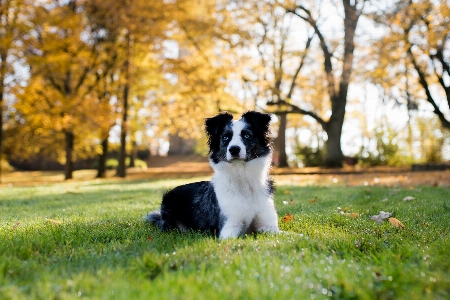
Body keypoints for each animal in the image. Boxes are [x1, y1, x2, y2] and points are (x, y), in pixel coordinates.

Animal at [146, 110, 280, 239]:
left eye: (247, 135)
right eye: (225, 137)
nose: (234, 149)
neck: (243, 178)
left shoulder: (269, 227)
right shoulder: (229, 227)